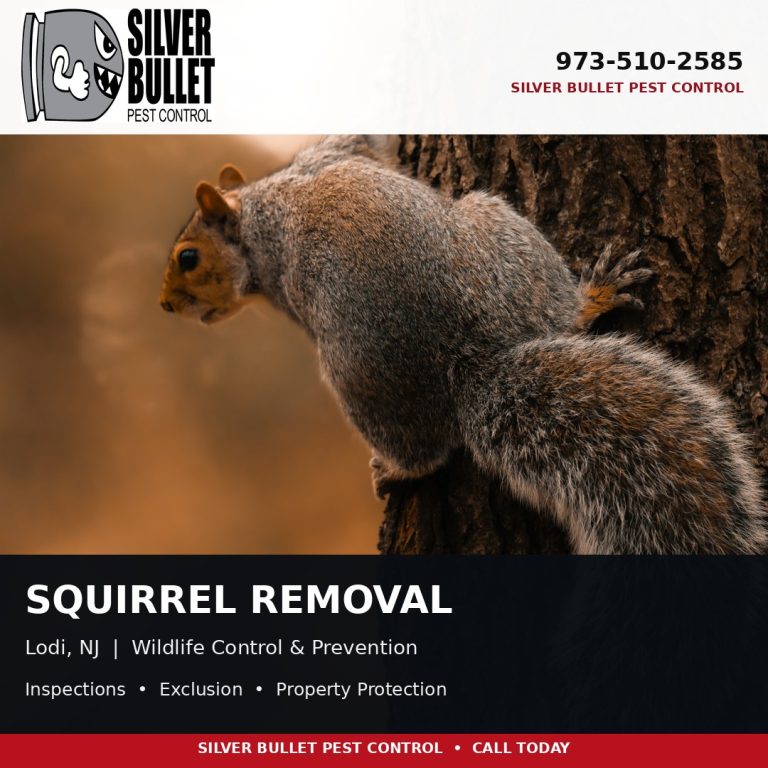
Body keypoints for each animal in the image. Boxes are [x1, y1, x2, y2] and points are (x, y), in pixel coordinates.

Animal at [159, 135, 767, 554]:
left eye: (187, 257)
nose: (166, 305)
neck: (257, 208)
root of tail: (468, 359)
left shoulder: (327, 154)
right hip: (498, 239)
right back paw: (591, 299)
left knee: (423, 454)